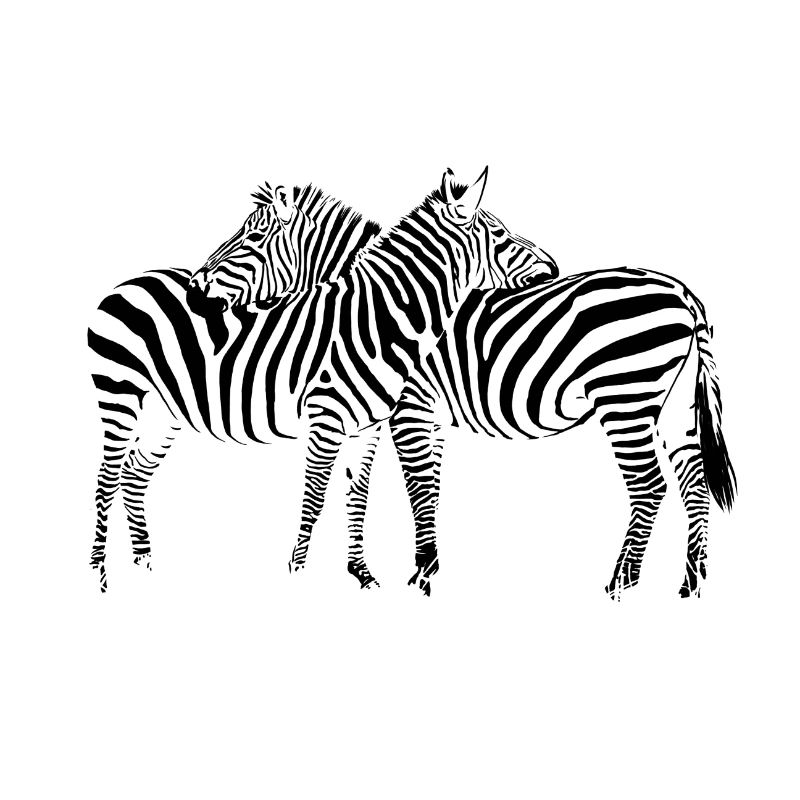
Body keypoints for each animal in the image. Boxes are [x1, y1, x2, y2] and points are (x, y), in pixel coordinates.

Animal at [88, 168, 557, 590]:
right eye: (498, 234)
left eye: (253, 238)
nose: (551, 269)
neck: (375, 319)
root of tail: (130, 281)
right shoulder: (347, 418)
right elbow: (326, 494)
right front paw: (300, 575)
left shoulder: (371, 425)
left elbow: (362, 491)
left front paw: (364, 574)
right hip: (119, 395)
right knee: (107, 477)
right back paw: (99, 575)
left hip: (163, 412)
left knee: (134, 473)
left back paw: (144, 565)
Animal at [338, 268, 736, 598]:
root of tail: (682, 293)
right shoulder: (426, 417)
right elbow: (413, 489)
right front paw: (414, 571)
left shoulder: (409, 408)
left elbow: (417, 490)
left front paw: (421, 574)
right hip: (677, 405)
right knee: (695, 485)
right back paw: (690, 585)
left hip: (625, 396)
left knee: (650, 485)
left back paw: (622, 582)